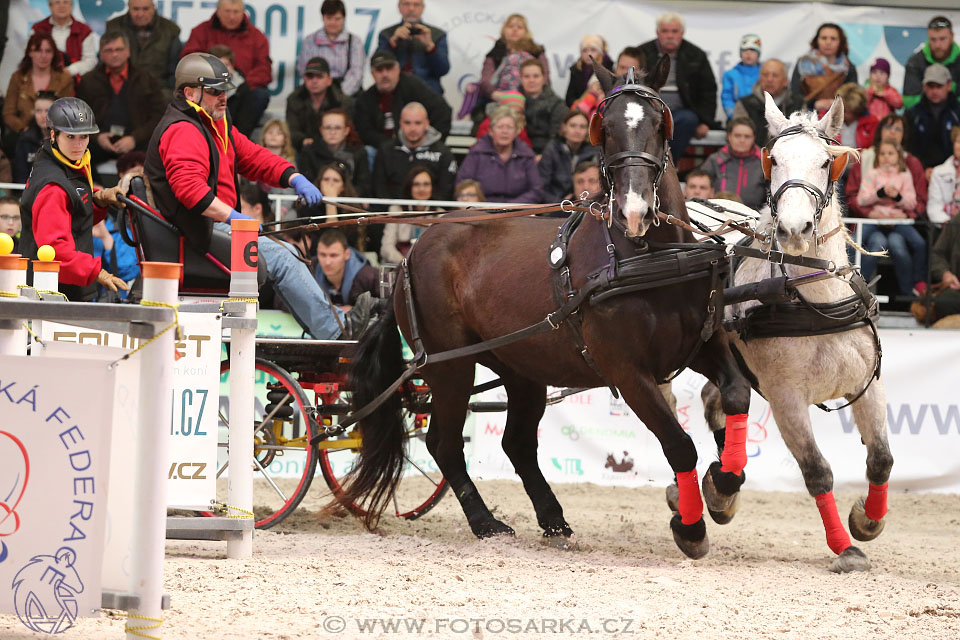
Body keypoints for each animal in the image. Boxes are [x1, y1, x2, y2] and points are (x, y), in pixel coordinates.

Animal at [340, 60, 756, 560]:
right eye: (605, 127)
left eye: (660, 123)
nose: (634, 210)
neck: (651, 257)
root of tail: (411, 254)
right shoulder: (628, 372)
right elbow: (679, 444)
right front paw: (691, 529)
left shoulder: (702, 346)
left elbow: (736, 396)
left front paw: (724, 486)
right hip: (450, 365)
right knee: (445, 443)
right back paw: (485, 521)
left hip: (523, 368)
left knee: (517, 444)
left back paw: (552, 517)